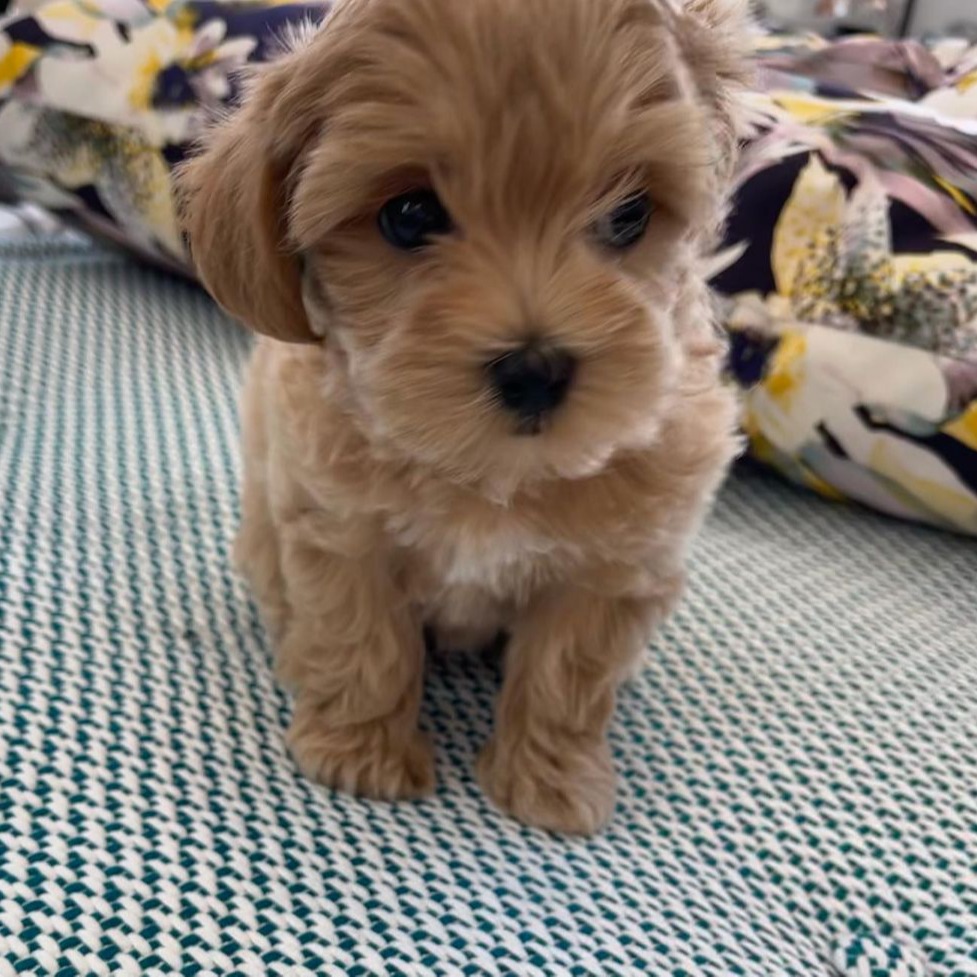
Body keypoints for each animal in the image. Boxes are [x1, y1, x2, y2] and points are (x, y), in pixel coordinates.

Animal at [179, 0, 752, 836]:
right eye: (408, 215)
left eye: (629, 214)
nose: (535, 368)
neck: (492, 475)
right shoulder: (337, 525)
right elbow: (361, 635)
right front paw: (359, 753)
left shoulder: (614, 569)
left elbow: (567, 674)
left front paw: (550, 783)